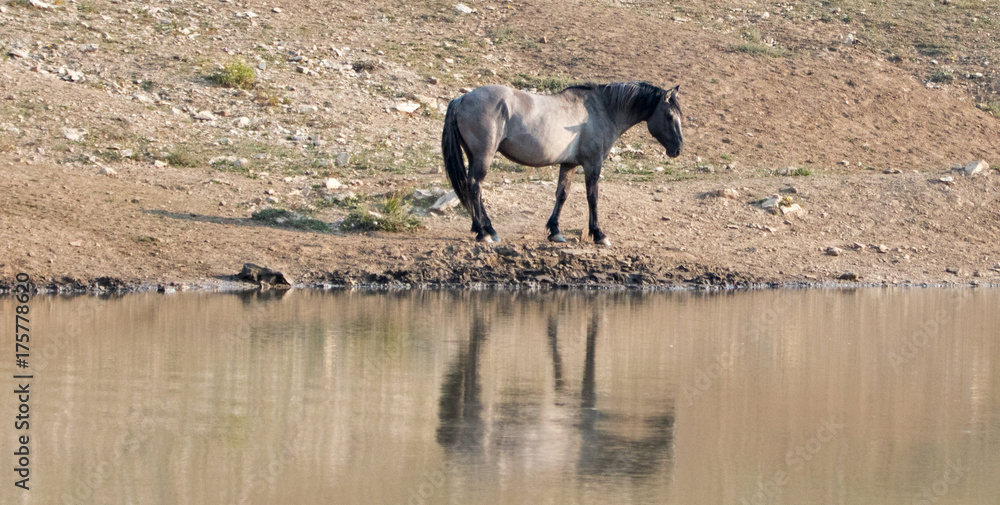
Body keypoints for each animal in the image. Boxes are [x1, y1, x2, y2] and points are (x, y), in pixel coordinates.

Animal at [441, 81, 683, 245]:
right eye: (670, 116)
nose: (678, 149)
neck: (601, 110)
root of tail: (461, 99)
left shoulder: (569, 164)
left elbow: (562, 194)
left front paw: (555, 231)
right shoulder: (593, 163)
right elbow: (593, 197)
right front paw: (598, 234)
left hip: (474, 156)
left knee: (472, 187)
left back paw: (485, 229)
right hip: (484, 156)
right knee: (475, 186)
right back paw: (484, 233)